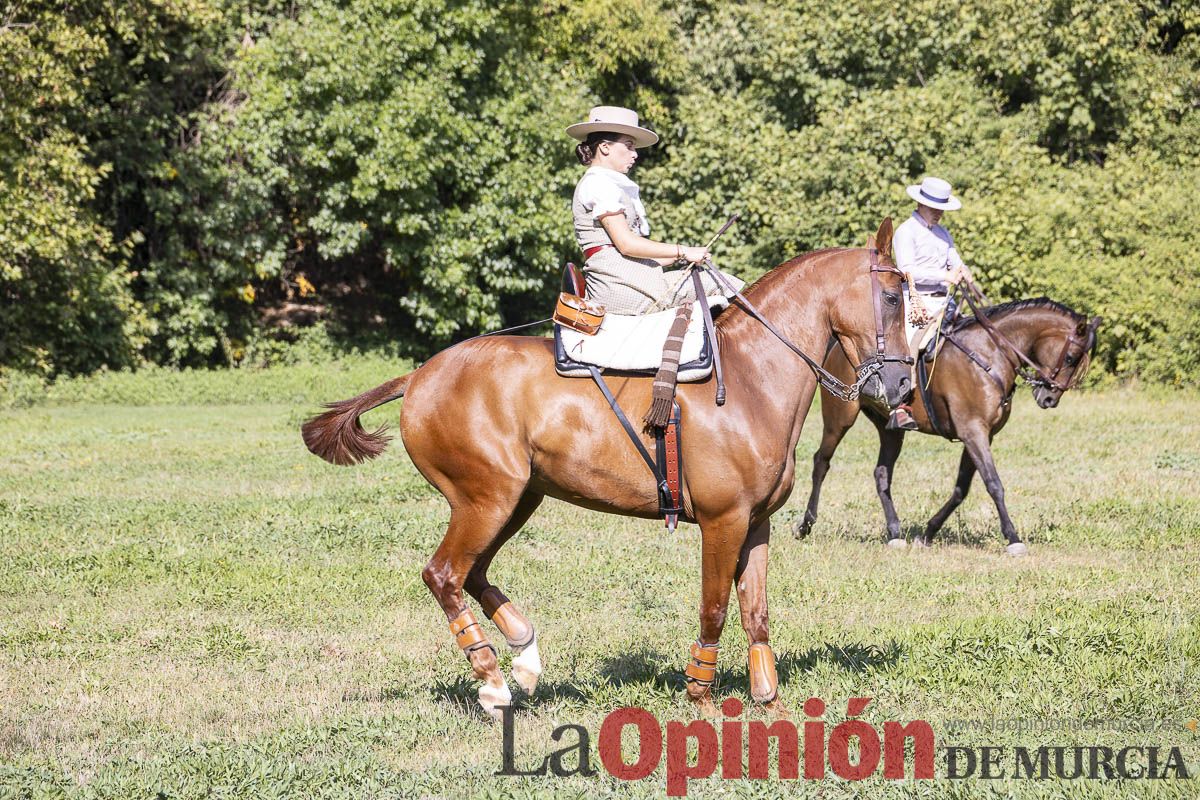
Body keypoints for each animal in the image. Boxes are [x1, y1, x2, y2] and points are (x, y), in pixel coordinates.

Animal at [301, 219, 913, 719]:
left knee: (472, 573)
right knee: (444, 574)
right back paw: (494, 683)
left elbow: (756, 611)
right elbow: (715, 607)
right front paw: (700, 694)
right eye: (890, 296)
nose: (904, 385)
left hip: (517, 499)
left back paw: (525, 658)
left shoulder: (756, 523)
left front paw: (769, 699)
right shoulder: (724, 521)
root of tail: (418, 376)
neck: (749, 378)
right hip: (485, 498)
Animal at [795, 296, 1101, 555]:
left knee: (882, 473)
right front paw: (1013, 538)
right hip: (840, 417)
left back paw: (894, 532)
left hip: (890, 430)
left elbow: (961, 489)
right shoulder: (973, 431)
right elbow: (994, 484)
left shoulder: (980, 435)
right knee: (821, 461)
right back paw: (805, 525)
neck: (988, 354)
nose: (1049, 398)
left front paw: (928, 533)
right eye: (1071, 357)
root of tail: (838, 347)